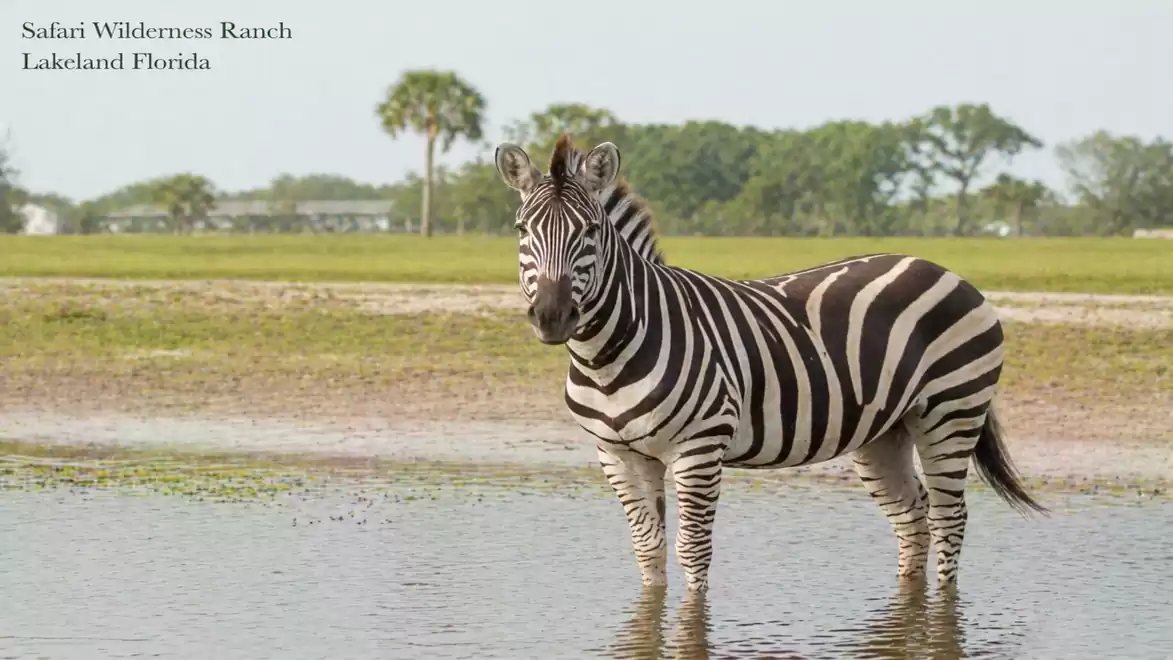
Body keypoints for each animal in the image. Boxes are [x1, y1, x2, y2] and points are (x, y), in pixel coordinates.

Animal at [493, 134, 1047, 593]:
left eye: (589, 230)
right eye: (521, 229)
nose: (552, 316)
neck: (608, 360)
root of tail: (941, 269)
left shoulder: (699, 448)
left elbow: (692, 554)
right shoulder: (618, 454)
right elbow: (648, 554)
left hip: (952, 411)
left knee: (950, 520)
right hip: (885, 431)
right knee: (913, 517)